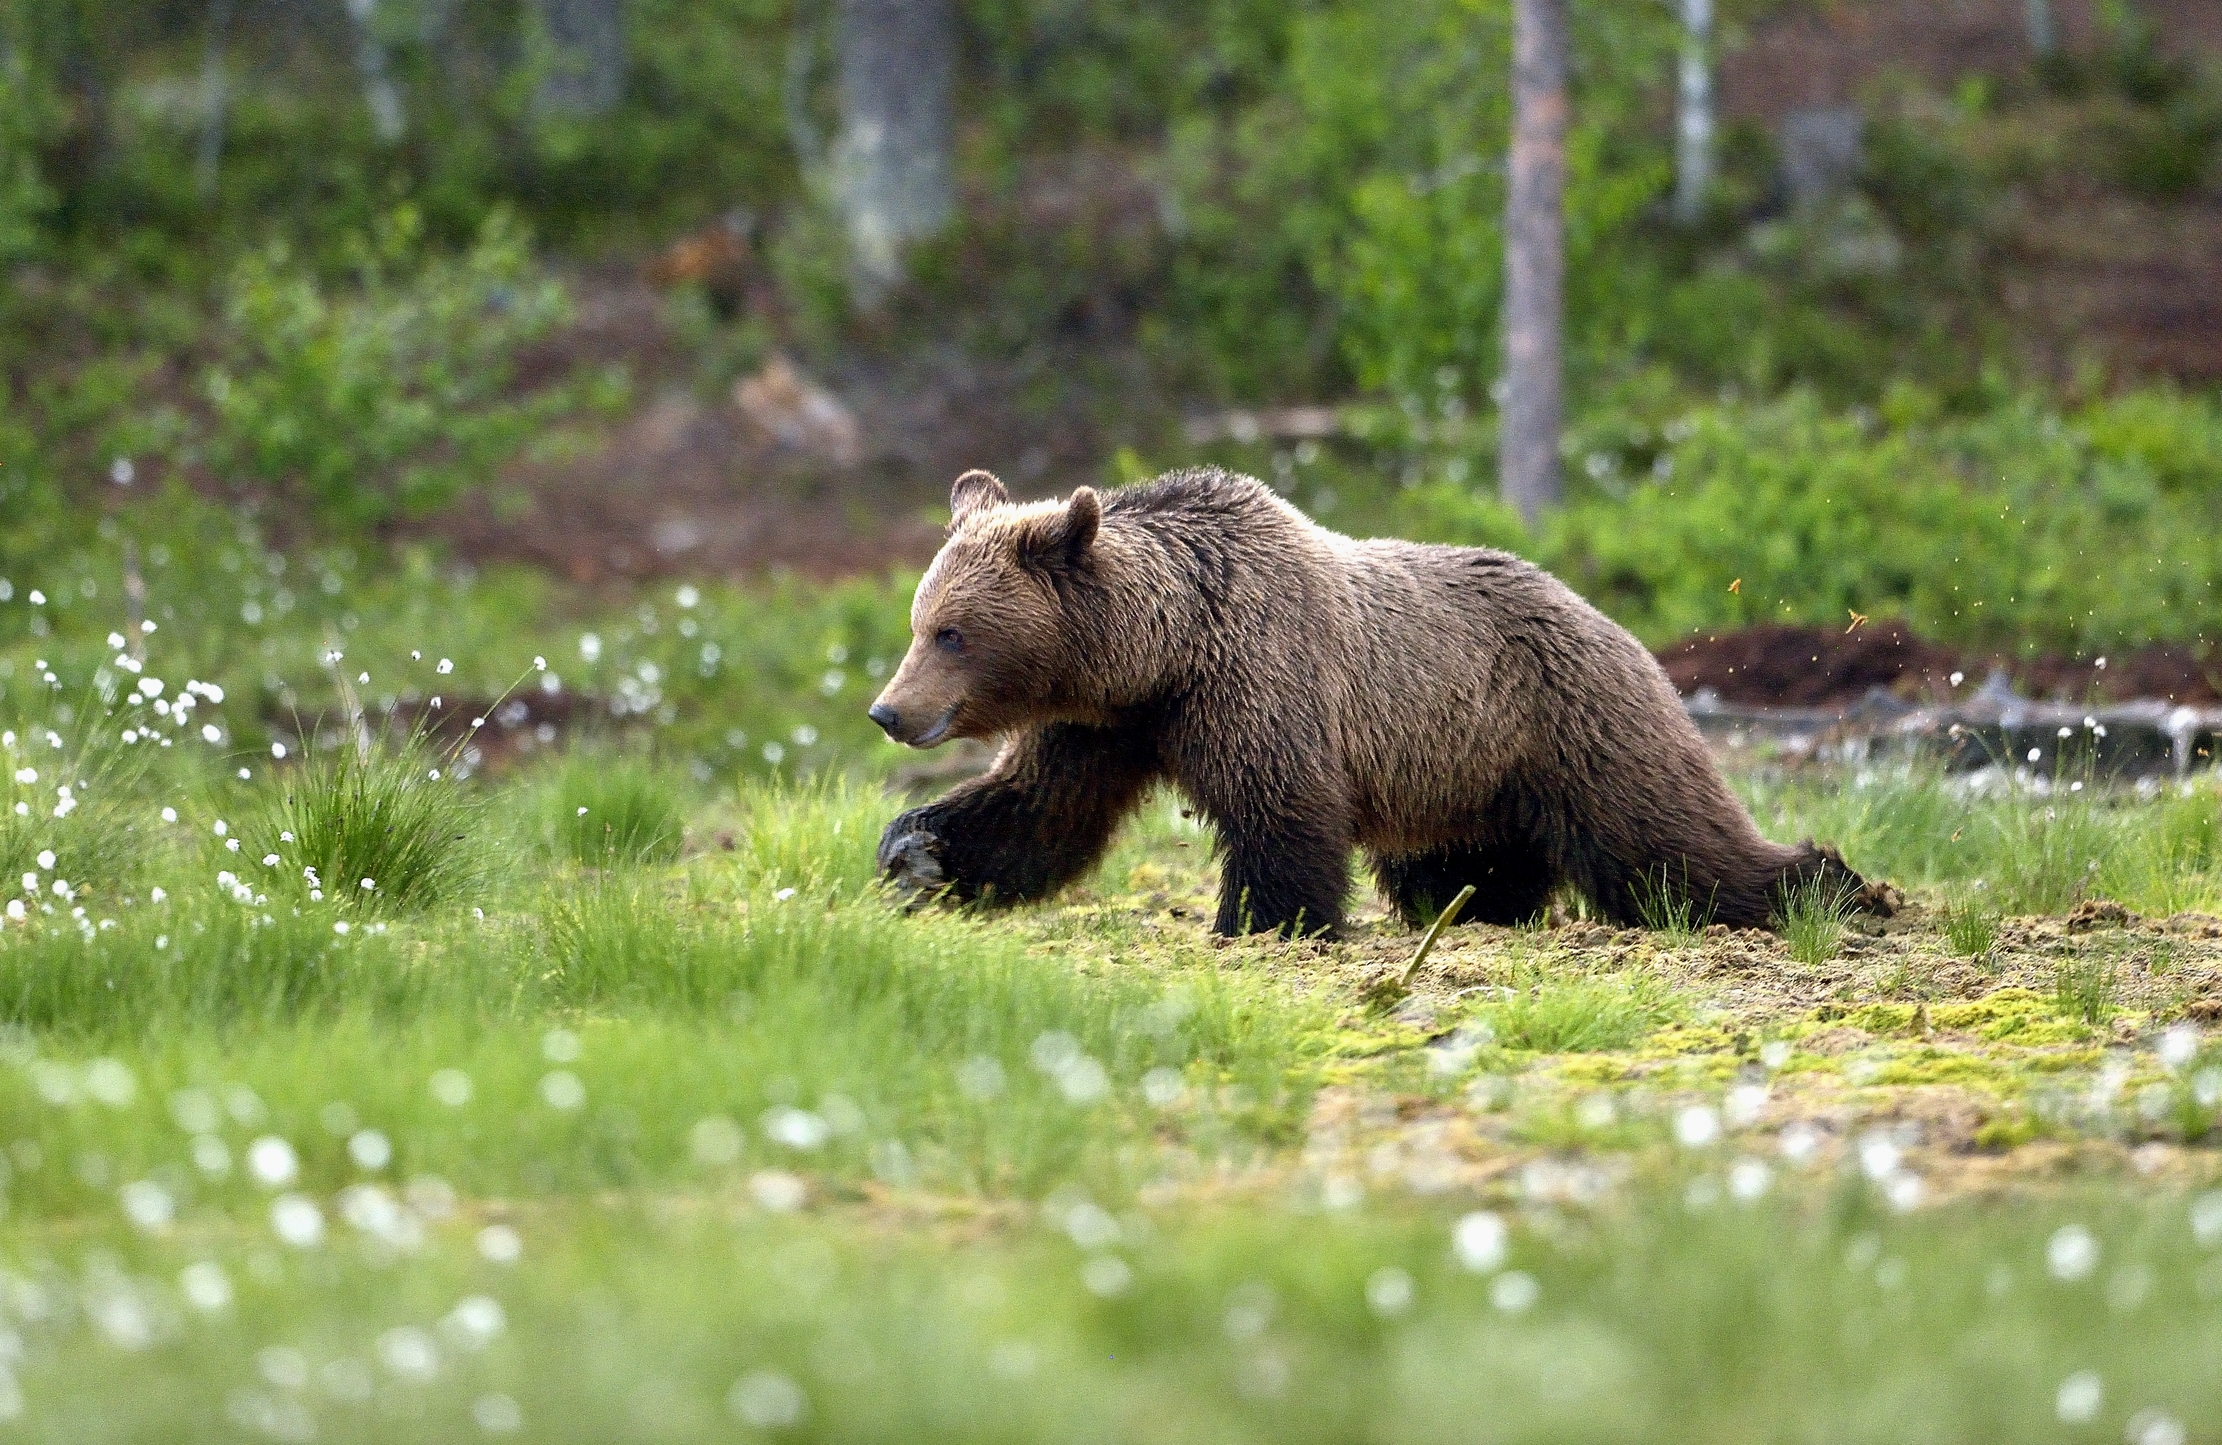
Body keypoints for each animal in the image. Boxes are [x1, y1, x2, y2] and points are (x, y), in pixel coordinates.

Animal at [867, 465, 1884, 939]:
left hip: (1575, 719)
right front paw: (912, 849)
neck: (1161, 655)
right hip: (1469, 770)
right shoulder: (1100, 725)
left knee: (1668, 847)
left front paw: (1256, 920)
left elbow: (1281, 815)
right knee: (1465, 865)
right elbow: (1039, 810)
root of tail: (1610, 619)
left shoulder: (1256, 680)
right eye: (920, 621)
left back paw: (1834, 885)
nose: (889, 711)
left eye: (952, 631)